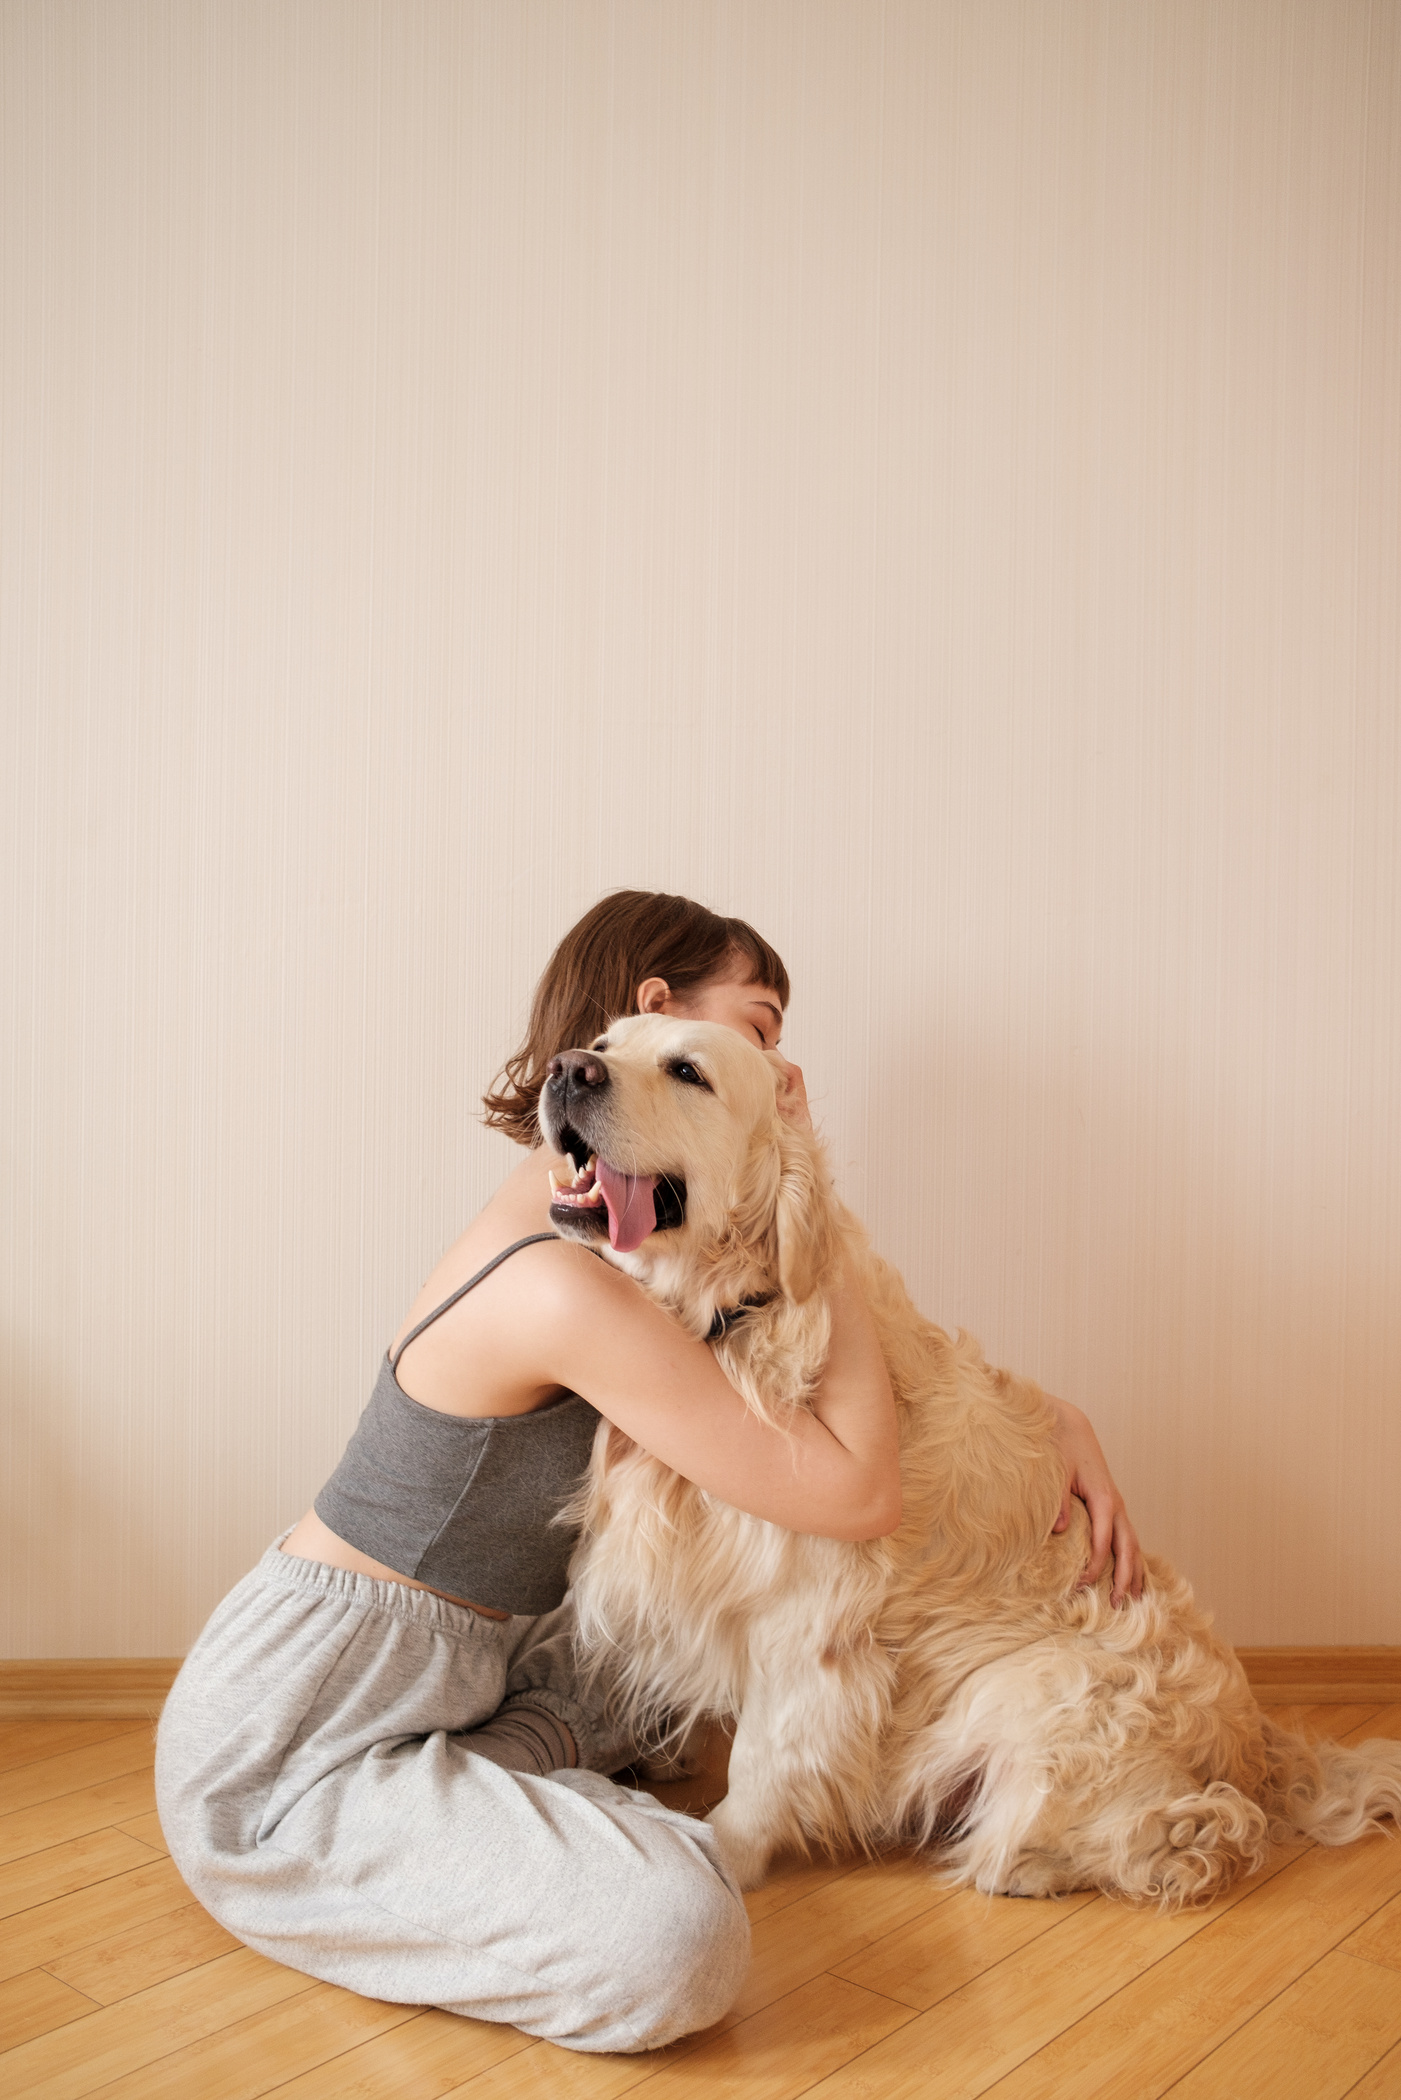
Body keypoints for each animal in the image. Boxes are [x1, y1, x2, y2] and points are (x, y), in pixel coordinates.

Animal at [537, 1016, 1401, 1906]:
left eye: (687, 1072)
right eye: (604, 1042)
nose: (566, 1070)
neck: (731, 1317)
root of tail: (1256, 1747)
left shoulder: (810, 1627)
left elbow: (762, 1762)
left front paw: (721, 1852)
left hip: (1037, 1685)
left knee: (1195, 1835)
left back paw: (1015, 1860)